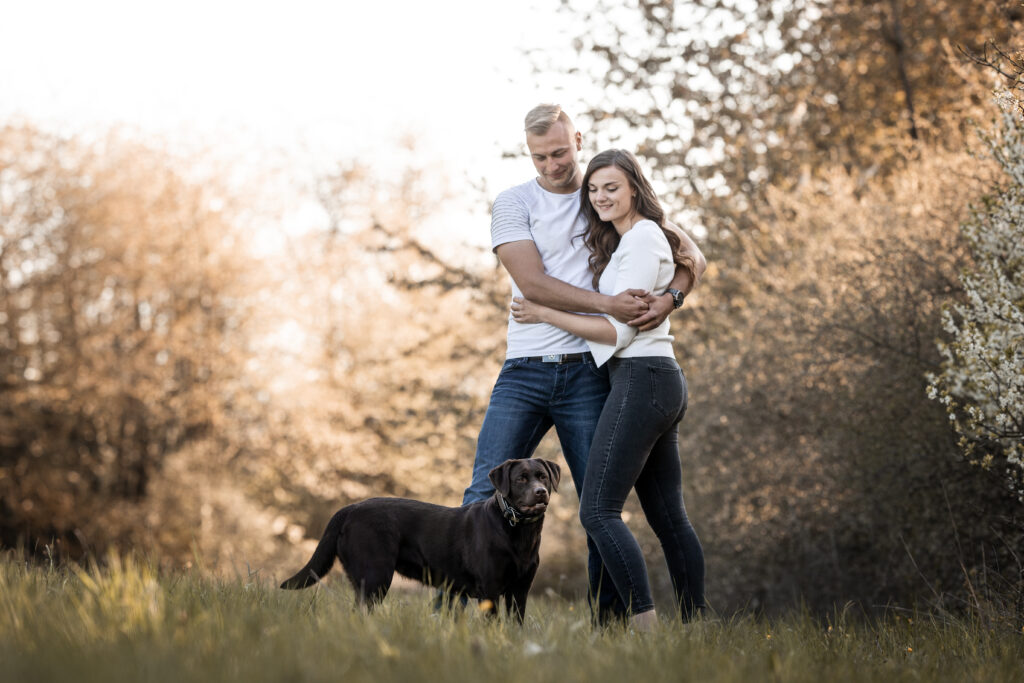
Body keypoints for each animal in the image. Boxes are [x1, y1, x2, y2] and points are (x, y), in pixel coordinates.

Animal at [280, 456, 561, 622]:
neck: (519, 532)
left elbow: (516, 625)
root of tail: (351, 508)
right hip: (375, 576)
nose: (541, 492)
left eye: (543, 476)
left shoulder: (519, 591)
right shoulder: (490, 589)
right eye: (521, 479)